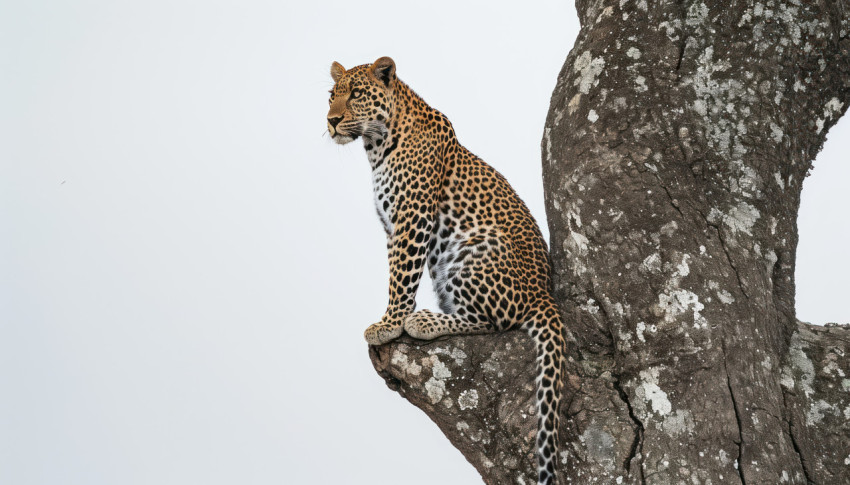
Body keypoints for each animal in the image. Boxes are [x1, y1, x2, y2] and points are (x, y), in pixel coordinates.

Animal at [328, 56, 568, 484]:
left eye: (355, 94)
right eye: (330, 96)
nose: (331, 121)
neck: (376, 146)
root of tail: (544, 293)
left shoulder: (412, 219)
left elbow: (400, 276)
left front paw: (389, 323)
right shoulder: (393, 227)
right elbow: (398, 273)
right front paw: (393, 319)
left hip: (473, 250)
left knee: (494, 321)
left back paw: (425, 321)